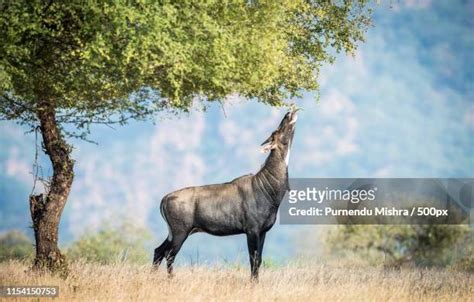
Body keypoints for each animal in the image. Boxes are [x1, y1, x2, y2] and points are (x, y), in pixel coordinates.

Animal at [154, 107, 298, 280]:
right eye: (275, 131)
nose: (289, 113)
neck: (267, 188)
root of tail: (164, 198)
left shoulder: (263, 231)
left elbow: (259, 260)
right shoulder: (252, 230)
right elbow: (253, 259)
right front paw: (252, 282)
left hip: (173, 232)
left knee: (158, 251)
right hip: (180, 231)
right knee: (169, 254)